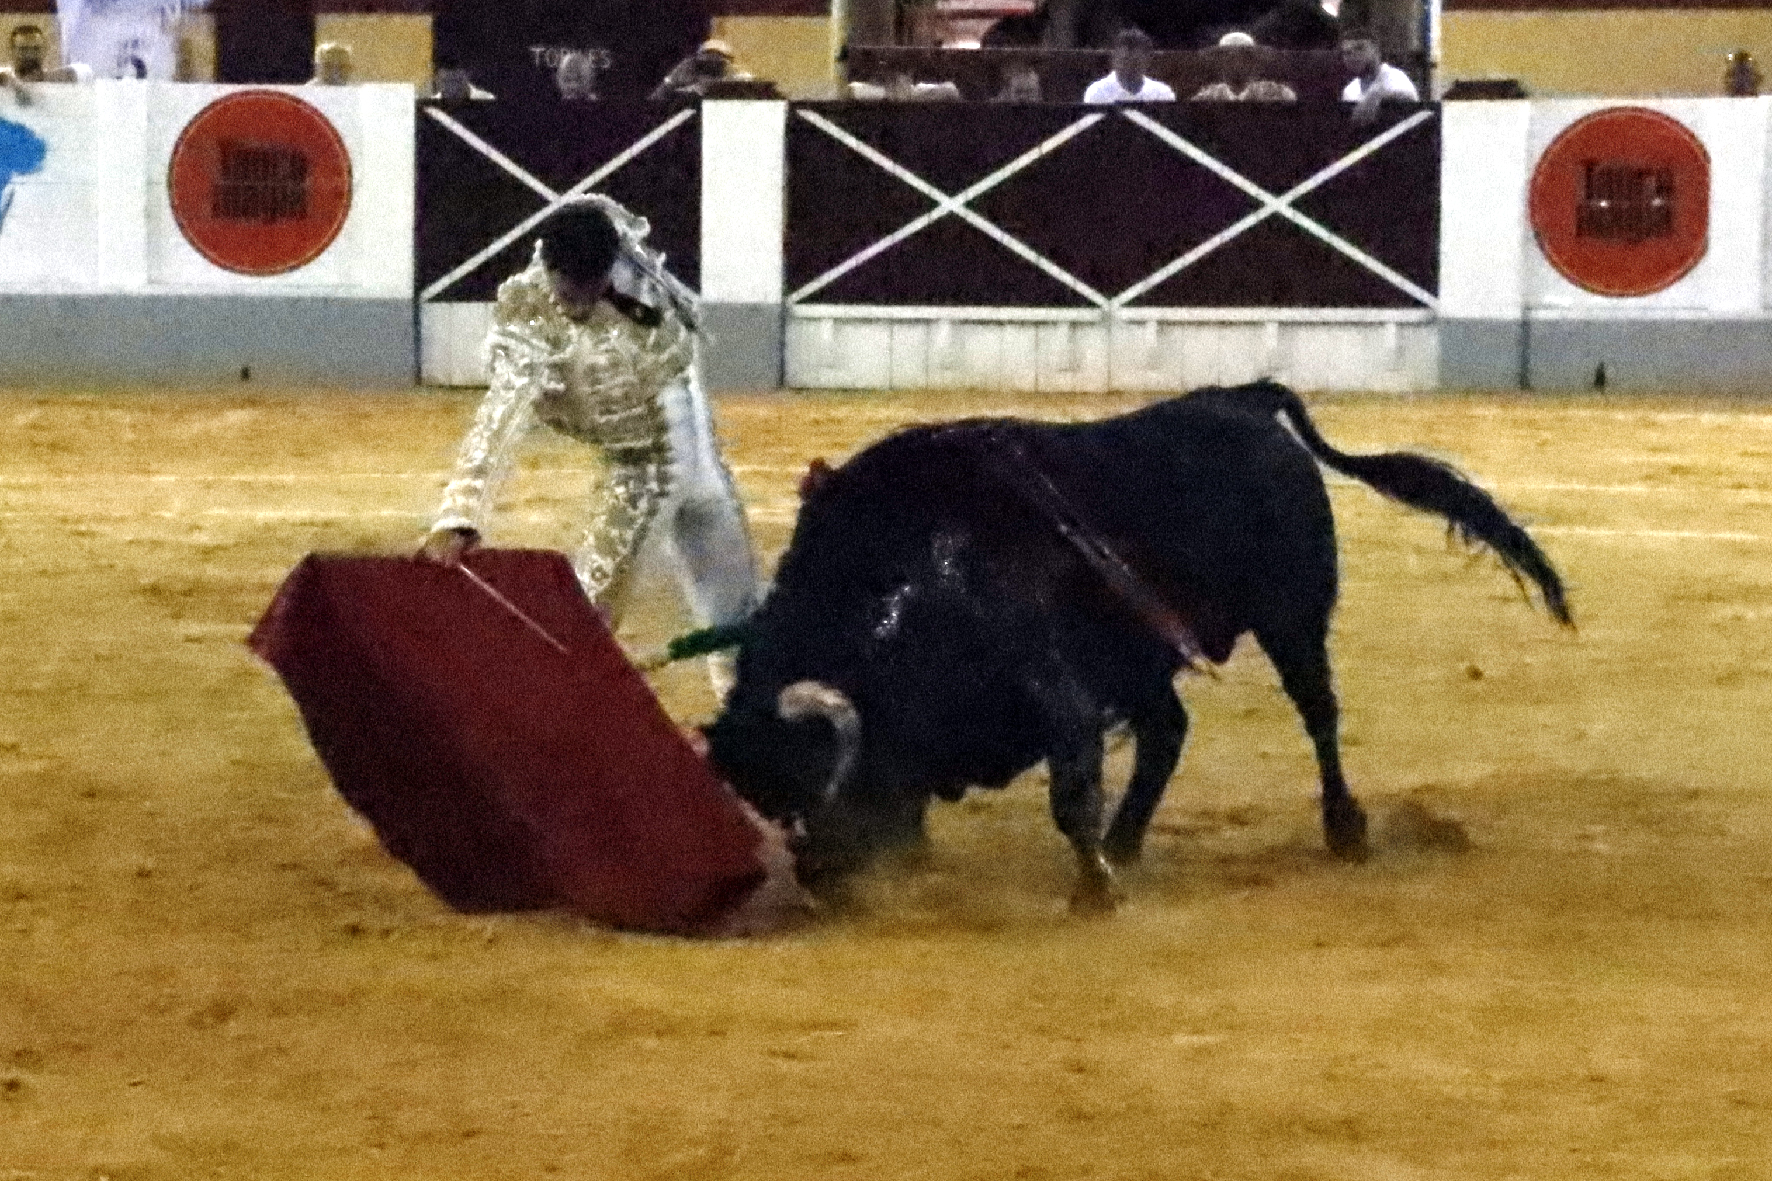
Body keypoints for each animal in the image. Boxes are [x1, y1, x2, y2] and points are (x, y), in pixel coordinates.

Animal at [704, 382, 1572, 913]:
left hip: (1291, 622)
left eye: (816, 780)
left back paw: (1344, 830)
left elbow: (1070, 792)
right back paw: (1129, 841)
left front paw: (1092, 894)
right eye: (767, 797)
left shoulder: (1058, 693)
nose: (818, 878)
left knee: (1319, 715)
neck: (910, 575)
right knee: (1168, 732)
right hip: (1146, 656)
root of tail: (1244, 399)